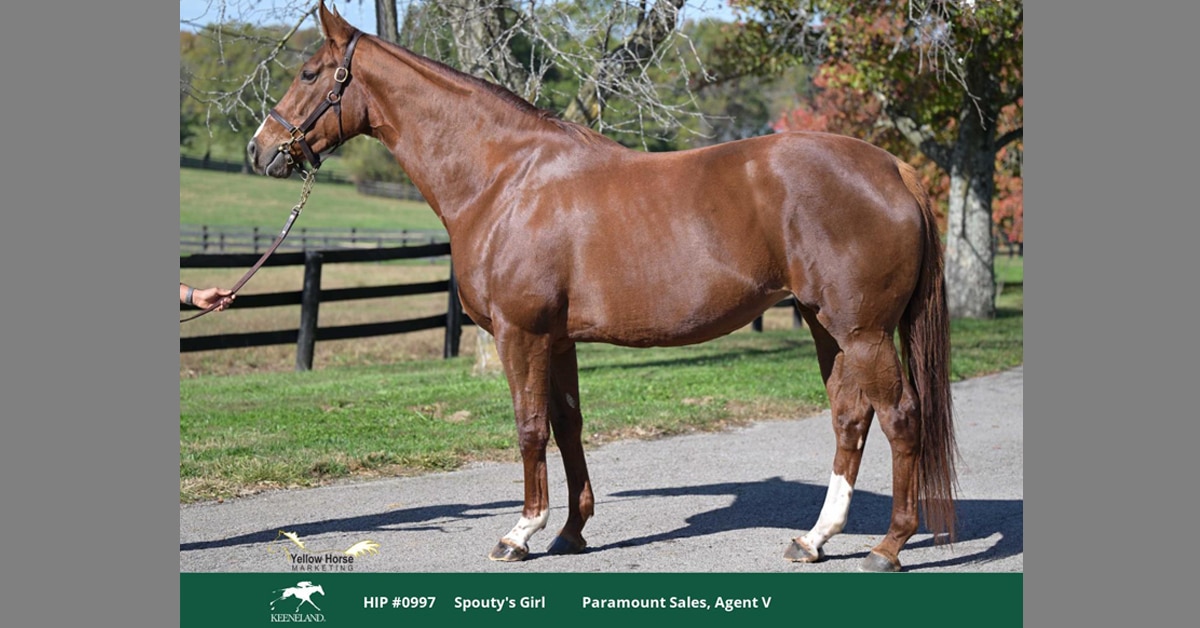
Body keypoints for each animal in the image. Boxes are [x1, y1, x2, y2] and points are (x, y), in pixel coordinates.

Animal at [247, 2, 956, 573]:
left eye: (309, 73)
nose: (260, 149)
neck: (505, 179)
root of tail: (893, 168)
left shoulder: (522, 335)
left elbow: (529, 427)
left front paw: (520, 534)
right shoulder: (557, 341)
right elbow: (567, 426)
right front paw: (571, 532)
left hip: (862, 332)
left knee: (900, 417)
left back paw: (888, 547)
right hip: (824, 325)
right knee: (850, 418)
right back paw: (813, 539)